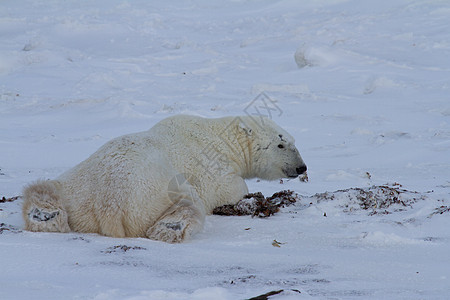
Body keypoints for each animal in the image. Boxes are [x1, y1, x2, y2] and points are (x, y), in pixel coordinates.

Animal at [22, 113, 308, 243]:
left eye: (293, 141)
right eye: (281, 144)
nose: (302, 168)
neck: (219, 136)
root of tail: (108, 206)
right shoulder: (209, 168)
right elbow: (228, 188)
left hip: (76, 185)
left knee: (48, 190)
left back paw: (42, 214)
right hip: (155, 192)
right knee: (189, 204)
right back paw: (173, 227)